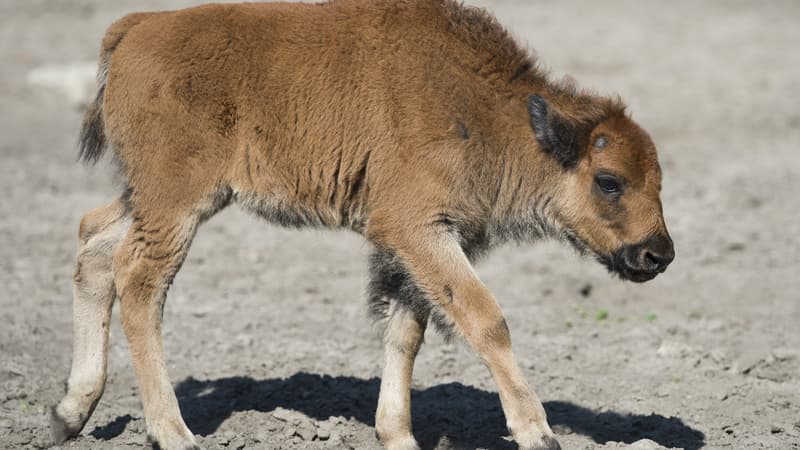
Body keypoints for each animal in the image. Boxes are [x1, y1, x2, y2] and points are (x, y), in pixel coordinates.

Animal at [51, 0, 676, 450]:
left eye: (659, 179)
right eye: (609, 181)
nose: (658, 254)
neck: (488, 112)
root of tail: (137, 28)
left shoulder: (417, 248)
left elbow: (406, 332)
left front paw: (397, 434)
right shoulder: (418, 230)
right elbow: (485, 320)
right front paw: (538, 433)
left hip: (152, 197)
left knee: (93, 243)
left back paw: (69, 414)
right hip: (177, 202)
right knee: (140, 283)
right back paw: (174, 434)